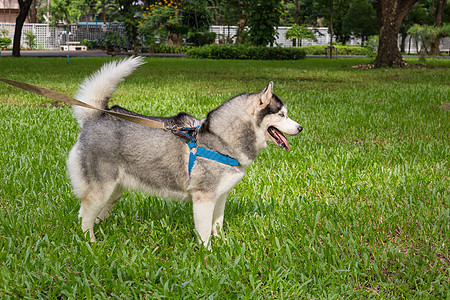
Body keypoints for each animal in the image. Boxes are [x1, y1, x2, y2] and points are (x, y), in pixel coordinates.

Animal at [68, 56, 302, 246]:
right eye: (282, 115)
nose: (301, 128)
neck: (219, 140)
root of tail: (97, 116)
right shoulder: (203, 199)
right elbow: (204, 232)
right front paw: (208, 253)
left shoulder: (220, 196)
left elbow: (217, 224)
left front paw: (223, 245)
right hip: (101, 189)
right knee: (84, 215)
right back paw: (90, 242)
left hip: (115, 190)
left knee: (91, 214)